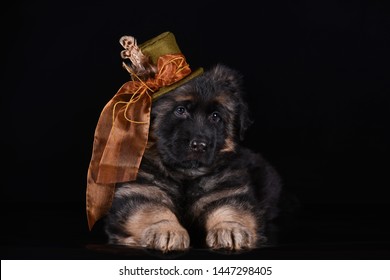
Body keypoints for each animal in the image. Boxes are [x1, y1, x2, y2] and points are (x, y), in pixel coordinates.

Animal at [103, 64, 282, 252]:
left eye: (215, 116)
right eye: (180, 110)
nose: (200, 145)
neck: (185, 175)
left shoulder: (227, 191)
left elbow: (230, 210)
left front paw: (230, 228)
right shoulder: (142, 191)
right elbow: (154, 211)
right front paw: (166, 229)